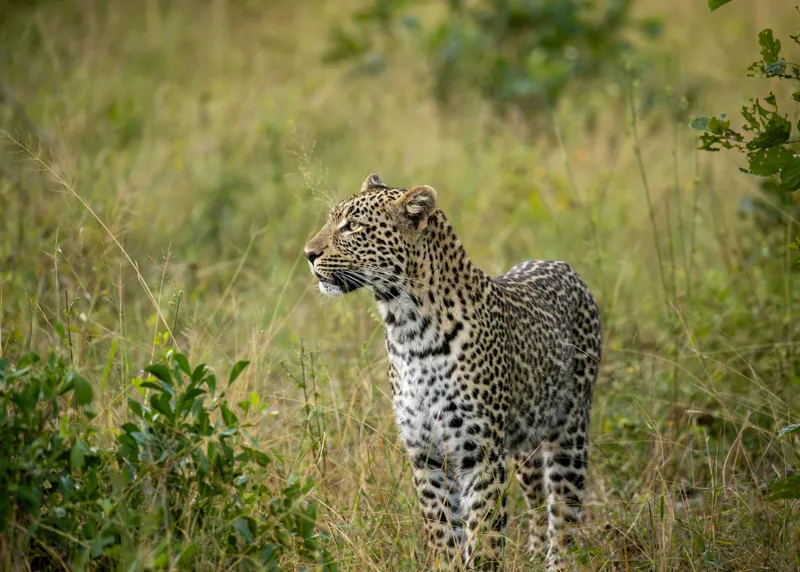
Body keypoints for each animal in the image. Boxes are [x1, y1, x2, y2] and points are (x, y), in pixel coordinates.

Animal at [304, 174, 602, 570]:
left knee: (565, 515)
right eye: (333, 220)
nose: (308, 253)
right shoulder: (425, 452)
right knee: (538, 503)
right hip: (526, 442)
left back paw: (559, 560)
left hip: (569, 431)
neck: (408, 329)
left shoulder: (480, 451)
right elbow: (442, 530)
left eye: (352, 226)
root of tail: (564, 266)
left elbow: (484, 533)